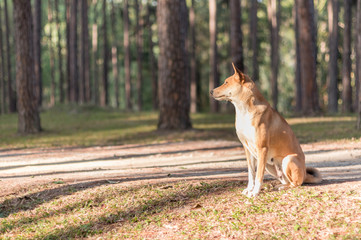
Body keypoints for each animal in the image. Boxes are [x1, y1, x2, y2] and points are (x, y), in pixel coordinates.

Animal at [210, 63, 322, 197]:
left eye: (226, 82)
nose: (211, 91)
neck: (244, 111)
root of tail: (305, 175)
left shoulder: (261, 148)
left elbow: (259, 175)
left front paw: (255, 192)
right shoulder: (247, 149)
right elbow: (251, 173)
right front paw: (249, 189)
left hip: (288, 159)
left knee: (296, 183)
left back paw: (281, 187)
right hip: (270, 165)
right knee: (286, 180)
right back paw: (277, 185)